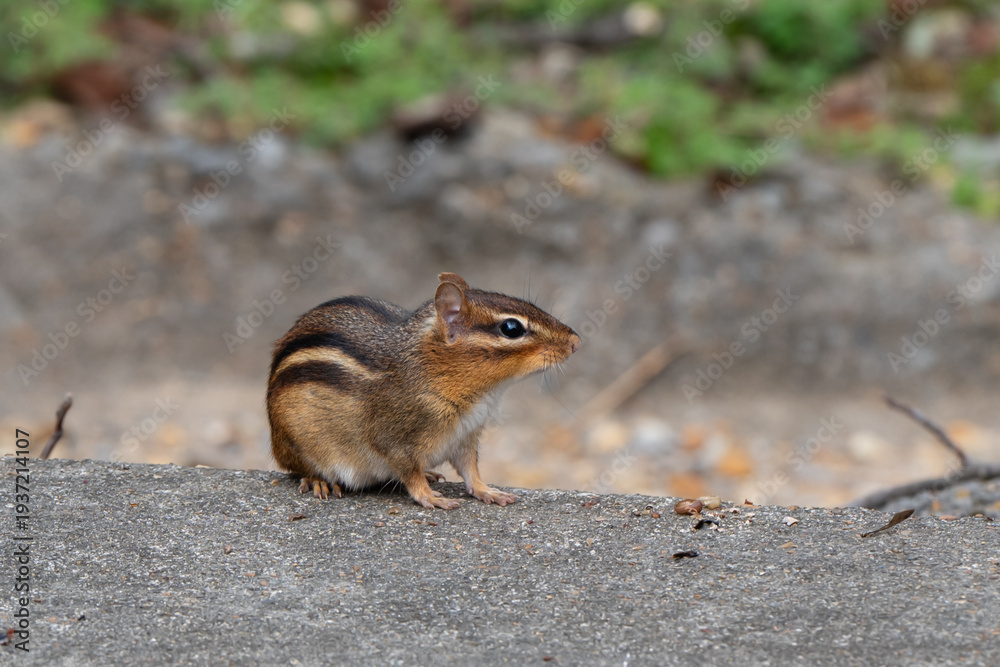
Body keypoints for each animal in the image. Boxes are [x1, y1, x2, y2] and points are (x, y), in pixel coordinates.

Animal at [267, 272, 581, 510]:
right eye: (512, 328)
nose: (576, 342)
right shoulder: (393, 440)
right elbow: (409, 474)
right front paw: (430, 498)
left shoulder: (465, 437)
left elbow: (470, 469)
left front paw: (487, 491)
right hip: (296, 444)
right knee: (299, 469)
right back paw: (319, 481)